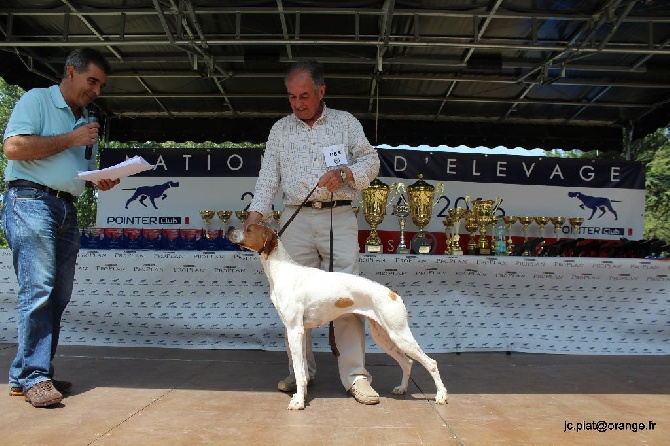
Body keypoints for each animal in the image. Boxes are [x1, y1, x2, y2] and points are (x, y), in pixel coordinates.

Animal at [227, 225, 452, 410]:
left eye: (248, 229)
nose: (229, 228)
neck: (282, 269)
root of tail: (392, 292)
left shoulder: (295, 331)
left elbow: (299, 372)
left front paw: (298, 402)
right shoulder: (300, 332)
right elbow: (303, 371)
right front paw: (302, 395)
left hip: (400, 335)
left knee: (431, 363)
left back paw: (441, 396)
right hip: (385, 337)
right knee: (407, 362)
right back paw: (402, 388)